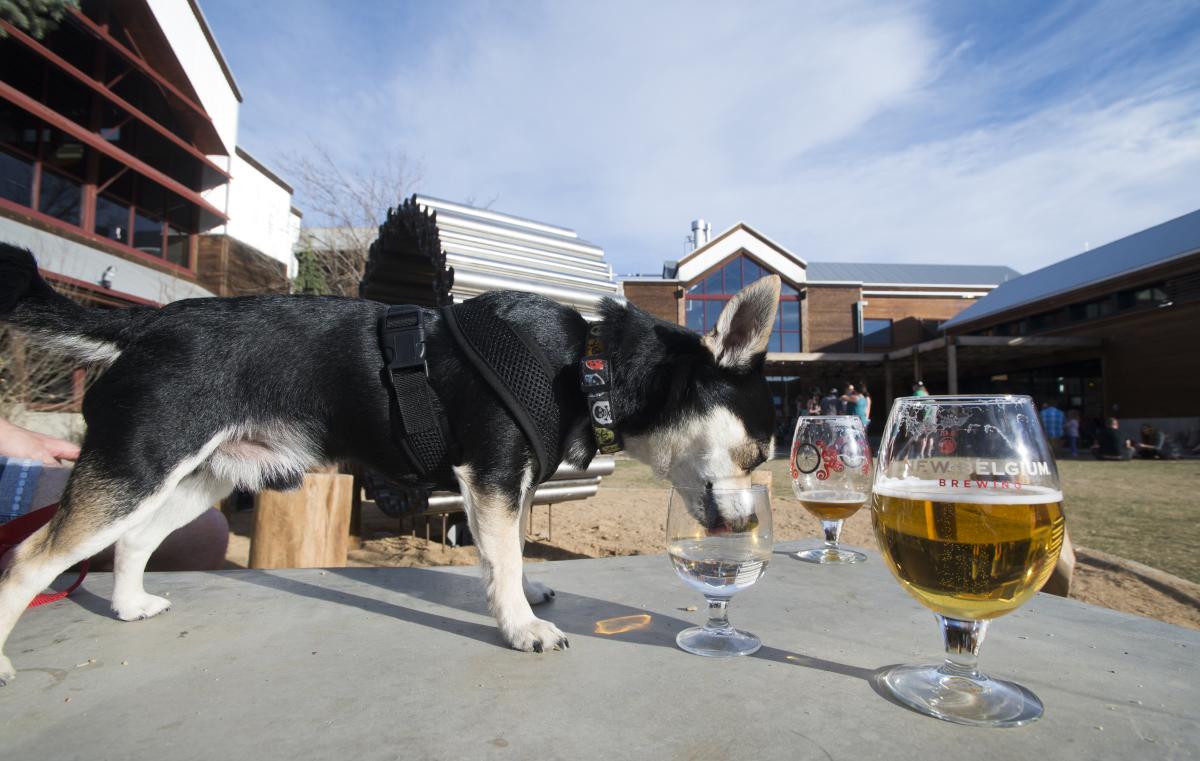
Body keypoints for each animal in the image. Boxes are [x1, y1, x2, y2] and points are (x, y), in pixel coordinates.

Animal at [0, 240, 777, 676]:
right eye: (754, 454)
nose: (746, 525)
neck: (589, 364)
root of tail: (149, 322)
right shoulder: (493, 474)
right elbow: (502, 554)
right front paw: (520, 623)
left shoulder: (512, 482)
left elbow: (513, 544)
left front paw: (527, 590)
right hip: (138, 465)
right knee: (30, 560)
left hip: (202, 474)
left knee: (133, 539)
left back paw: (130, 606)